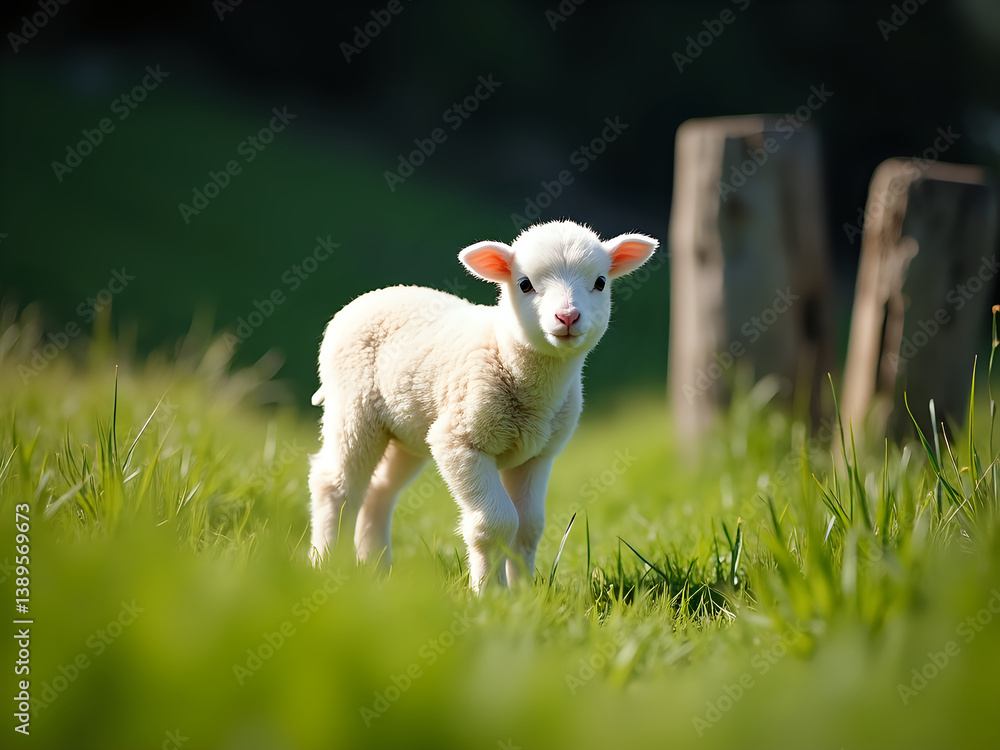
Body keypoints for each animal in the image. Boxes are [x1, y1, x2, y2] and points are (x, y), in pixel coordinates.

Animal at [308, 220, 658, 590]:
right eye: (524, 284)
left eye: (600, 282)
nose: (567, 316)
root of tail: (372, 296)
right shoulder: (460, 440)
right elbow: (497, 523)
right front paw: (490, 592)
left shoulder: (537, 455)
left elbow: (529, 527)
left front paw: (523, 592)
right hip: (353, 408)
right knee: (335, 485)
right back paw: (326, 564)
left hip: (407, 431)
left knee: (379, 490)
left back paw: (377, 568)